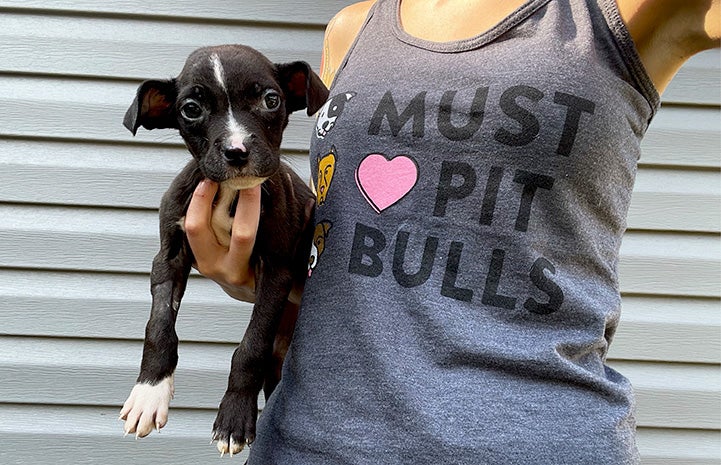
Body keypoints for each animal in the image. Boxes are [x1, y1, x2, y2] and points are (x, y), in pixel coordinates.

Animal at [118, 44, 328, 457]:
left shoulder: (275, 269)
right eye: (191, 109)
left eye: (271, 100)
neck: (230, 193)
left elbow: (251, 345)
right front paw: (149, 392)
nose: (237, 150)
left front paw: (233, 418)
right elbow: (159, 325)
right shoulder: (168, 258)